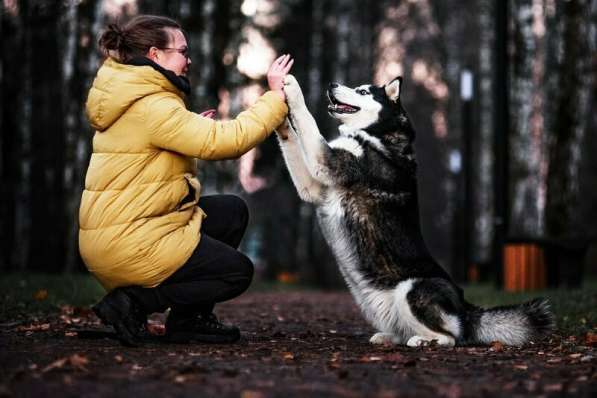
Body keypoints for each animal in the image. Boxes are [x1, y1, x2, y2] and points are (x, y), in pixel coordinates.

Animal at [276, 74, 556, 346]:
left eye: (363, 91)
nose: (332, 84)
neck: (378, 134)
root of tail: (466, 307)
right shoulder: (314, 186)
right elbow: (293, 139)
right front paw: (280, 122)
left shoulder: (327, 161)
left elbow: (308, 120)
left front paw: (292, 87)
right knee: (408, 330)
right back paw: (390, 337)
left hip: (411, 289)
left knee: (450, 338)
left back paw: (423, 341)